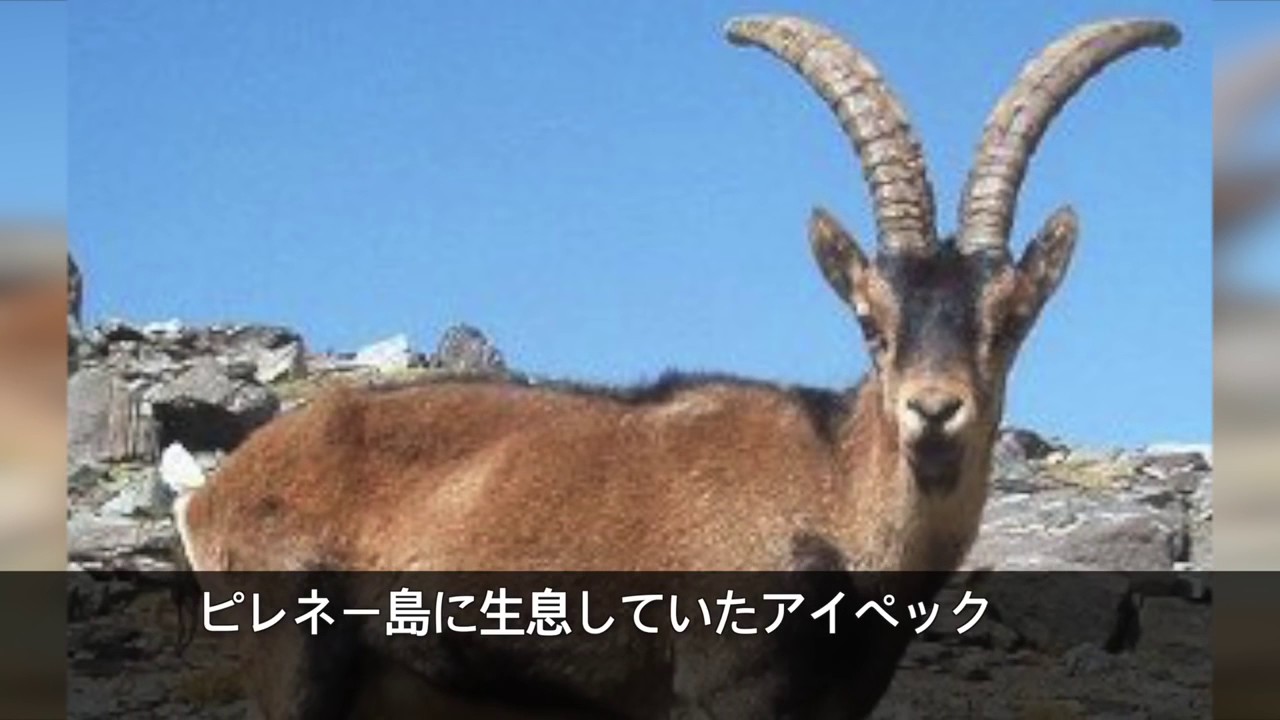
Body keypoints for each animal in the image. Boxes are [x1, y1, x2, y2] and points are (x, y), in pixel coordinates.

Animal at [171, 15, 1180, 719]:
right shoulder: (722, 685)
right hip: (293, 653)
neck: (831, 494)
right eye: (871, 323)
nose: (935, 413)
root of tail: (217, 491)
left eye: (1010, 322)